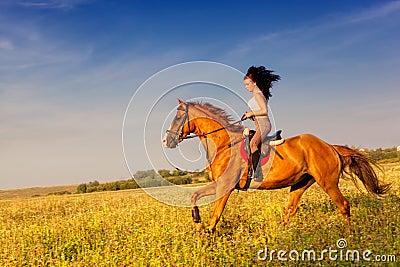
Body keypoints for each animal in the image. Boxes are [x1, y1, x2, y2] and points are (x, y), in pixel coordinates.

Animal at [161, 99, 390, 233]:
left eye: (178, 116)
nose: (166, 141)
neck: (224, 144)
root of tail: (329, 146)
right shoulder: (219, 184)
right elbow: (194, 195)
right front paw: (197, 222)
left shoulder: (226, 186)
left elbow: (216, 214)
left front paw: (208, 236)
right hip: (300, 183)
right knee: (291, 209)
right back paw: (279, 234)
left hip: (328, 182)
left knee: (344, 205)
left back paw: (349, 237)